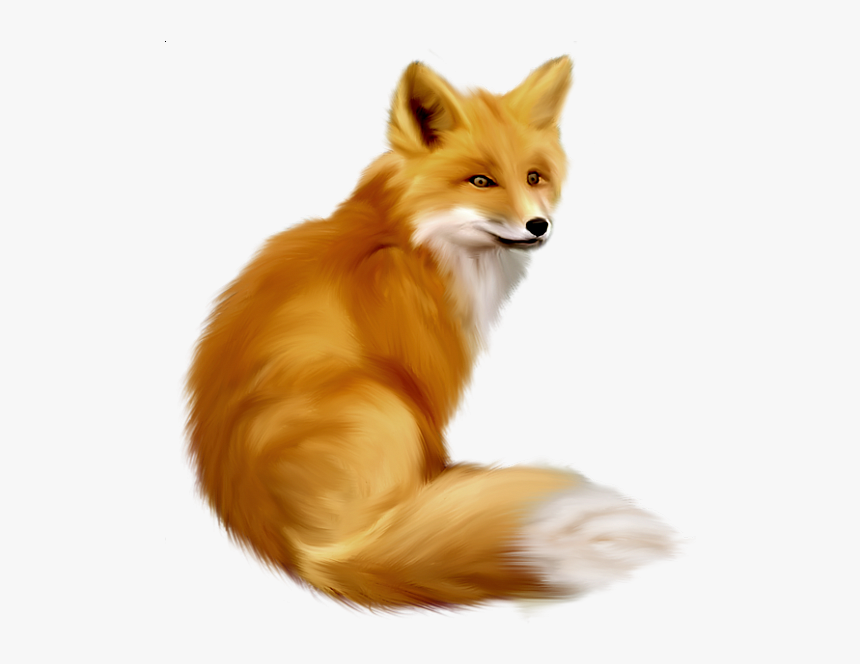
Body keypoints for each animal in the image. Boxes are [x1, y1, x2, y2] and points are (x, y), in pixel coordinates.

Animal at [186, 56, 674, 609]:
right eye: (481, 180)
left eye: (535, 177)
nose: (539, 226)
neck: (408, 240)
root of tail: (302, 554)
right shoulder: (425, 375)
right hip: (384, 404)